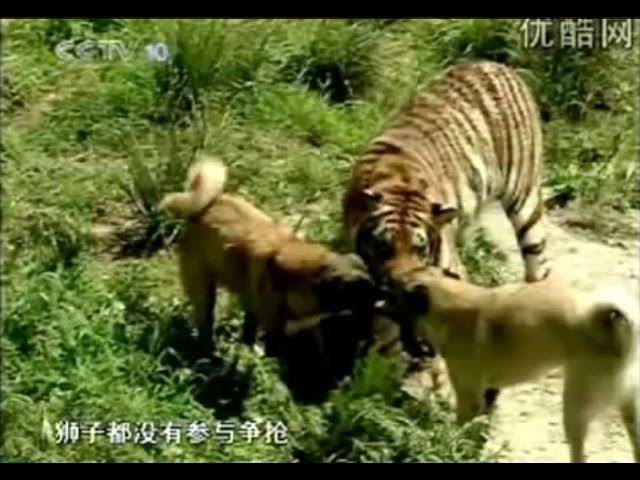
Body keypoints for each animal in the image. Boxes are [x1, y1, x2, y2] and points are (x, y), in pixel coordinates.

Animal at [159, 158, 376, 356]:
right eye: (359, 297)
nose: (369, 339)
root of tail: (202, 209)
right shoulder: (273, 325)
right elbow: (275, 345)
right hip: (204, 291)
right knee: (205, 319)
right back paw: (208, 348)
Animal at [390, 268, 640, 464]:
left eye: (395, 300)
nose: (382, 300)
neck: (448, 305)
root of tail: (613, 324)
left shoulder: (468, 398)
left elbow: (462, 430)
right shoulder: (488, 394)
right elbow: (479, 432)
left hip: (576, 405)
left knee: (578, 451)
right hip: (629, 410)